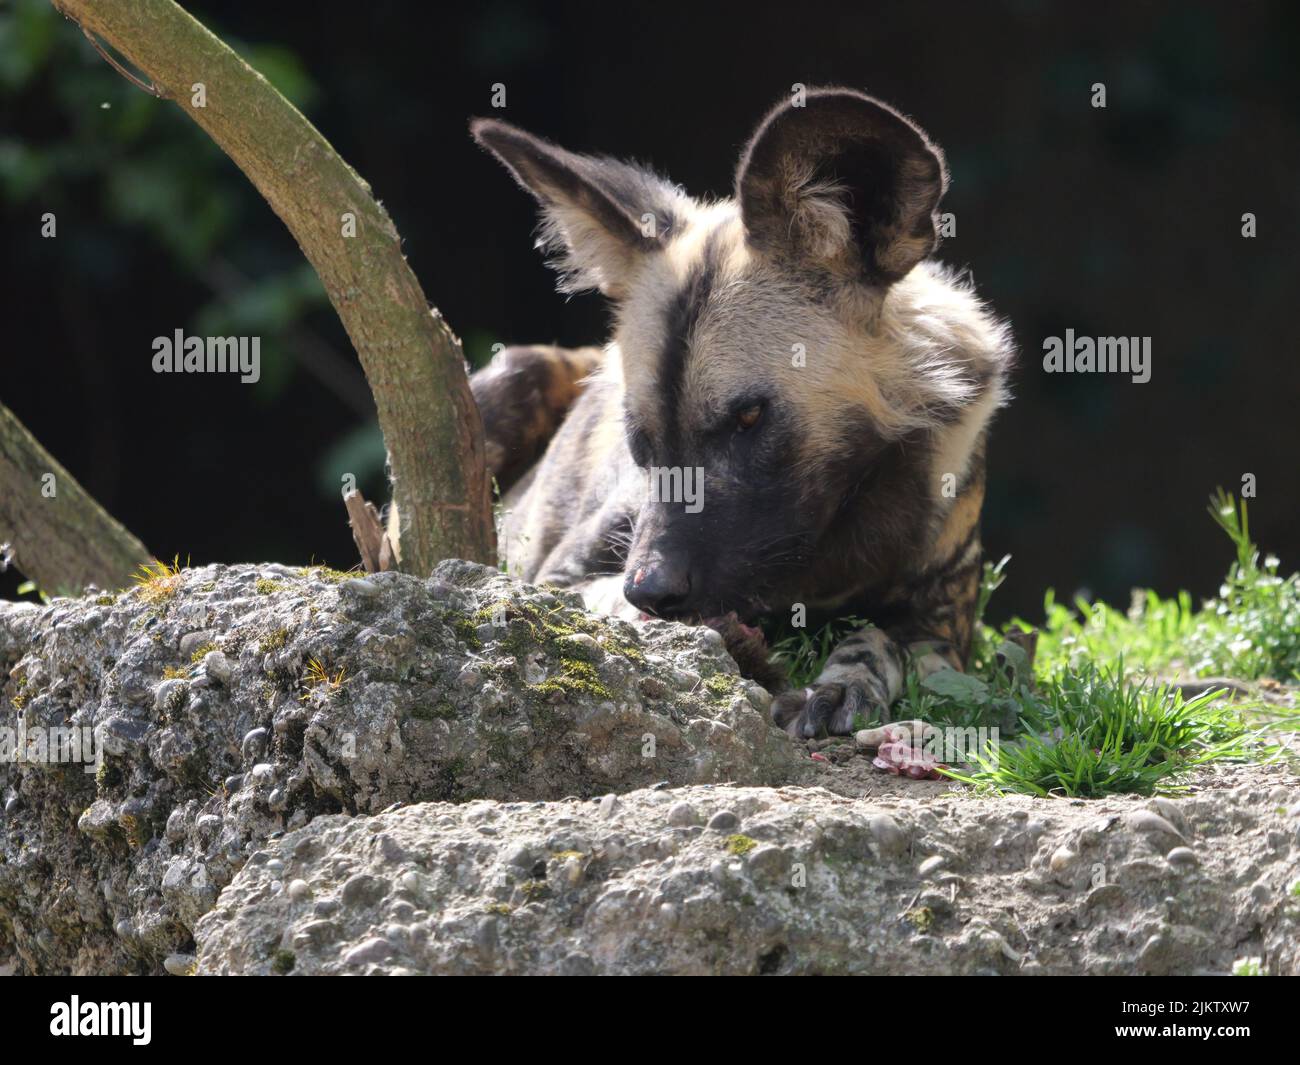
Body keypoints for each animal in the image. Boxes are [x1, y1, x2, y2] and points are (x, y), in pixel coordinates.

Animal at [452, 91, 1008, 738]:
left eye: (748, 418)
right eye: (640, 439)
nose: (652, 590)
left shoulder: (942, 630)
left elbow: (878, 640)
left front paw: (844, 681)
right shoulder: (559, 579)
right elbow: (609, 602)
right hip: (517, 376)